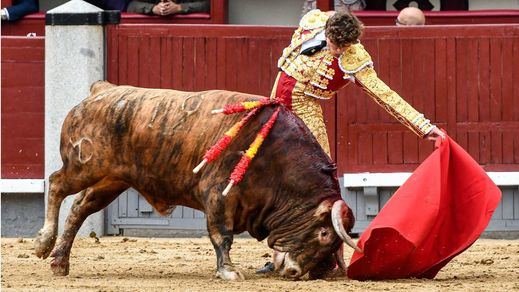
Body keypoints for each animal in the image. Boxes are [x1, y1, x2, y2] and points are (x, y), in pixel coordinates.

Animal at [34, 81, 360, 280]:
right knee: (56, 183)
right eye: (324, 234)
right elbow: (221, 235)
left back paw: (59, 262)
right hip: (85, 167)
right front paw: (228, 272)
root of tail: (101, 90)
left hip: (111, 180)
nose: (294, 272)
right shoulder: (217, 194)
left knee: (79, 208)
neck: (277, 158)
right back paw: (42, 243)